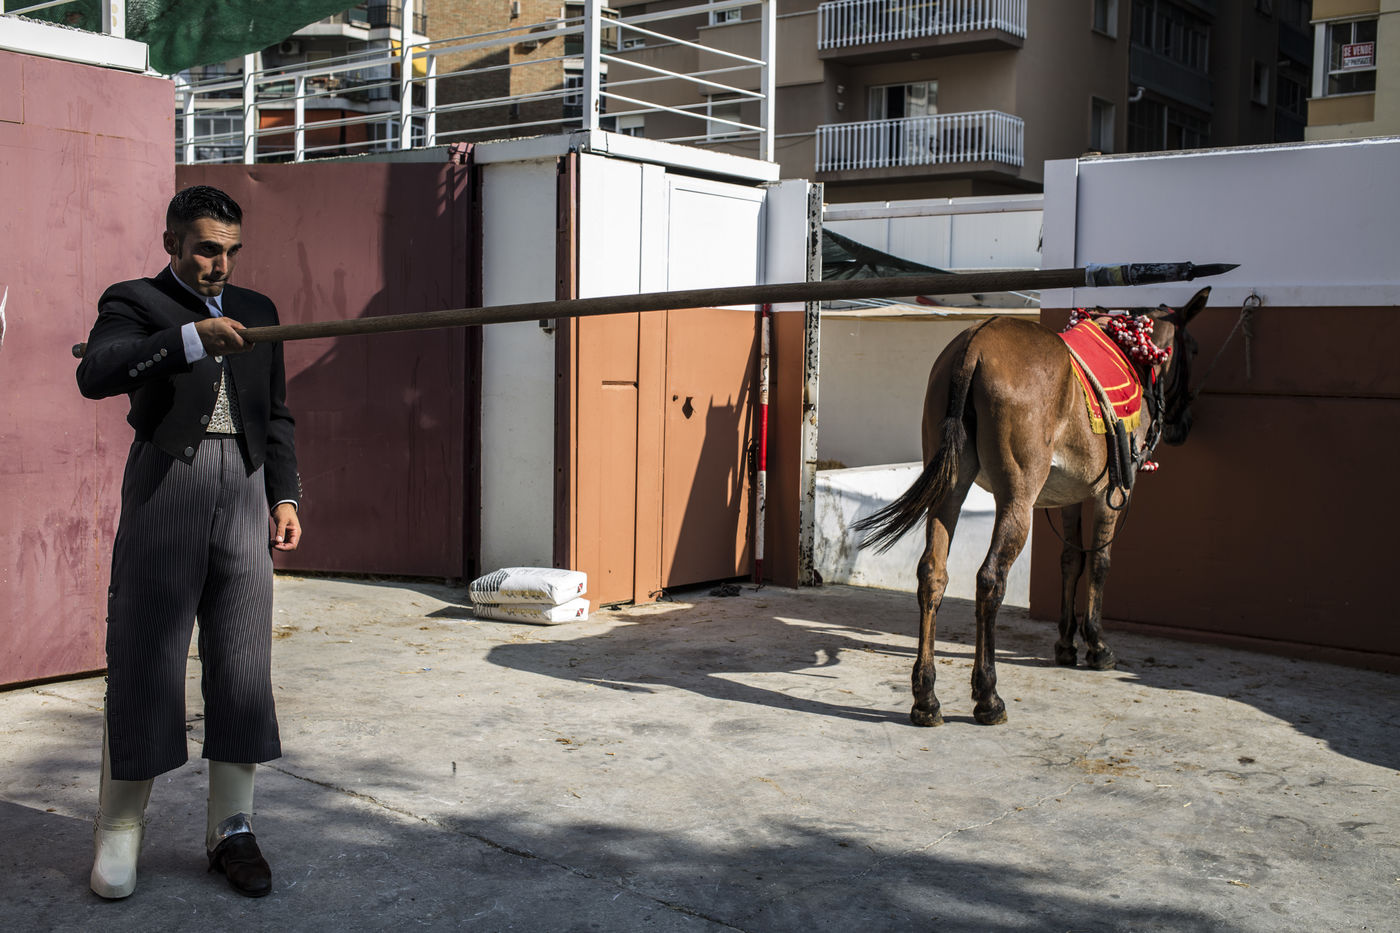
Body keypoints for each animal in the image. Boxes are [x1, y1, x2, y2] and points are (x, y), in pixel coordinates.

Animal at [853, 287, 1211, 726]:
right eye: (1194, 348)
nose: (1184, 425)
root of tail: (974, 345)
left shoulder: (1070, 498)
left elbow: (1071, 561)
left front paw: (1066, 642)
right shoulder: (1110, 493)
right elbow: (1100, 563)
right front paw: (1095, 644)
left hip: (949, 490)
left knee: (932, 575)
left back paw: (926, 697)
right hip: (1017, 499)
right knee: (990, 579)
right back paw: (987, 695)